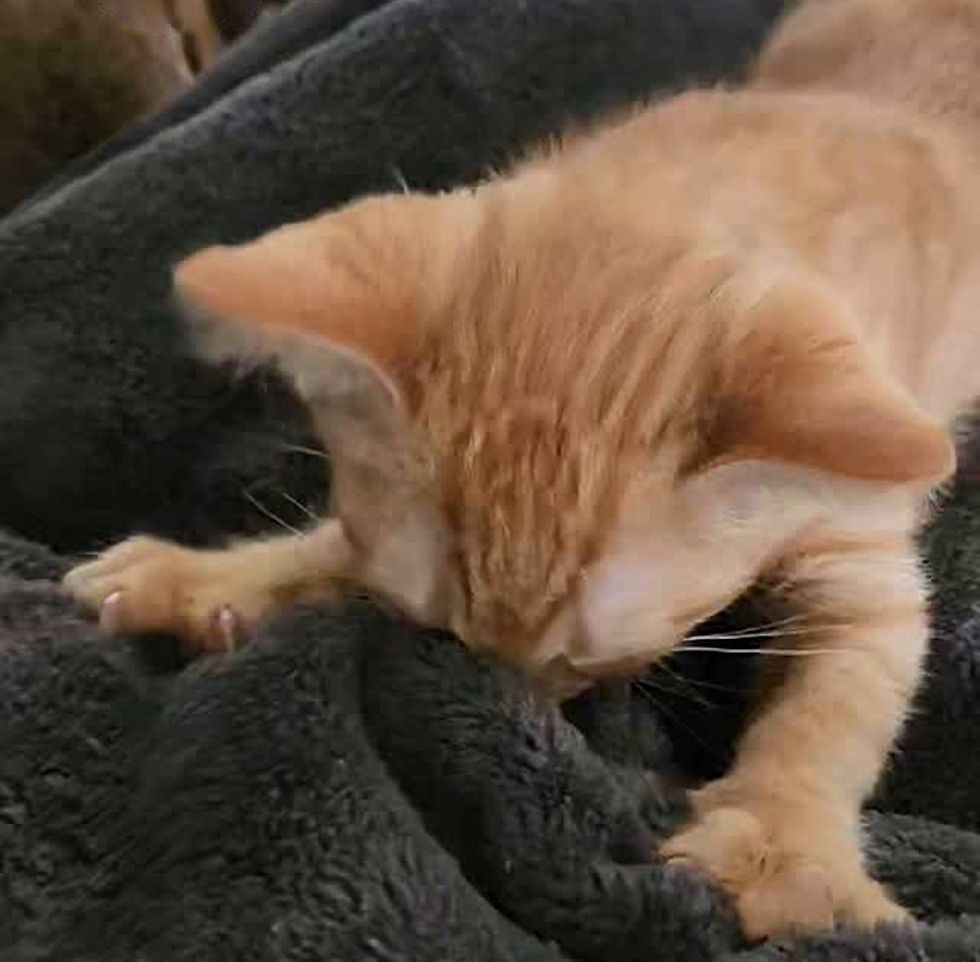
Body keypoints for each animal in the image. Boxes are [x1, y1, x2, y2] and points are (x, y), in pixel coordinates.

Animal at [65, 0, 976, 936]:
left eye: (588, 658)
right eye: (436, 627)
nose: (509, 707)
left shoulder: (867, 526)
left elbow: (839, 696)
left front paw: (779, 845)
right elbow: (335, 549)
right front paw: (207, 579)